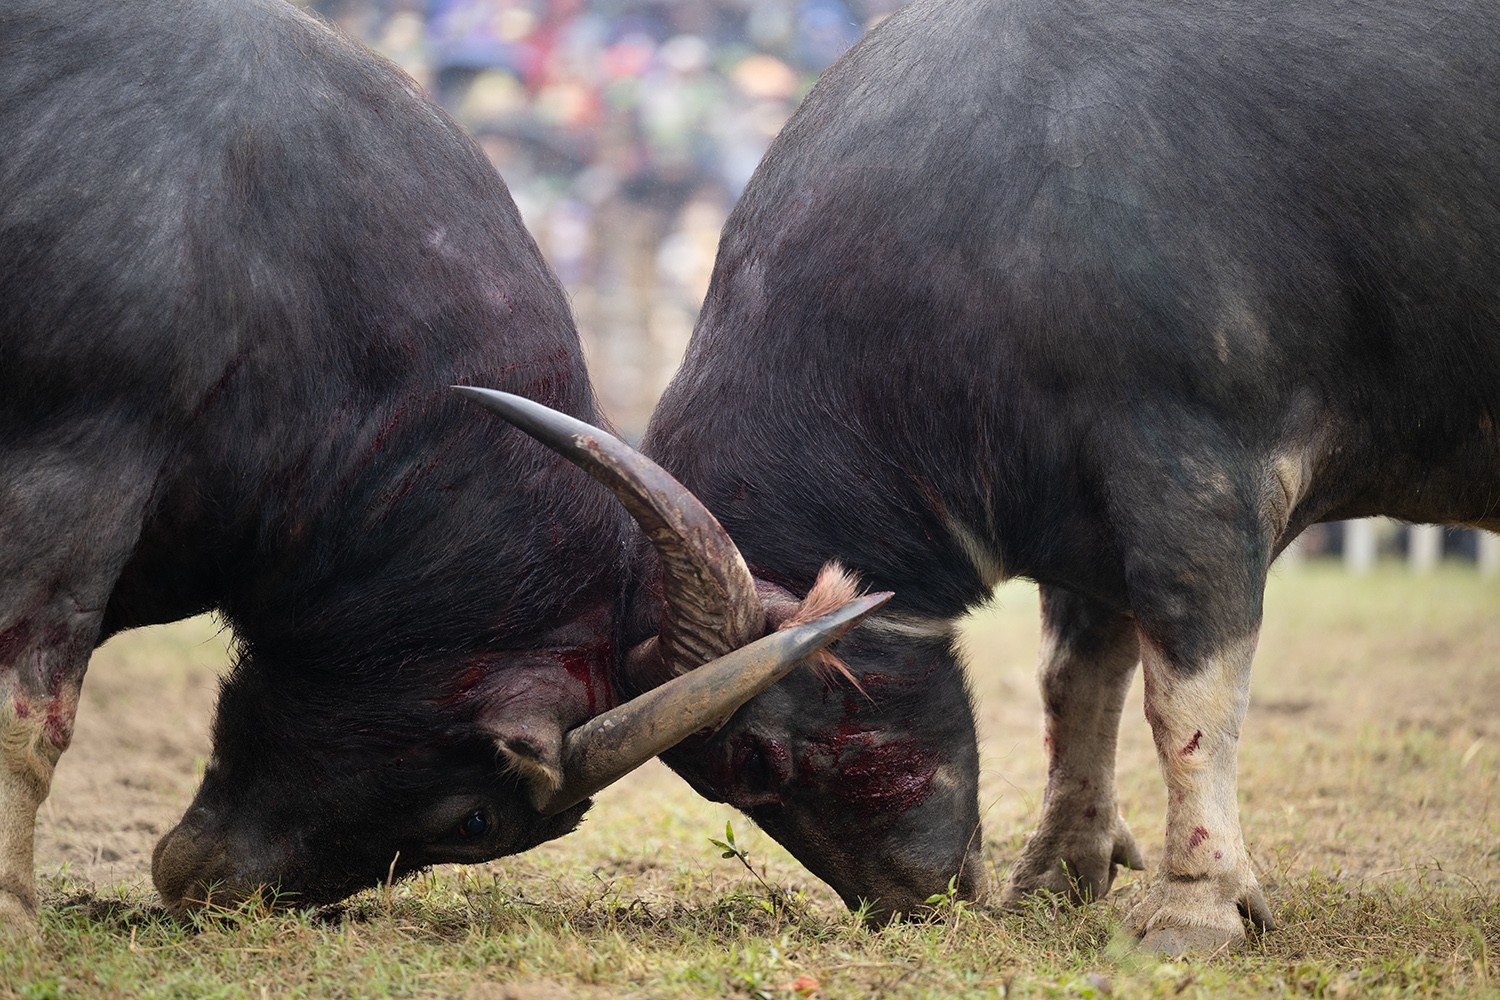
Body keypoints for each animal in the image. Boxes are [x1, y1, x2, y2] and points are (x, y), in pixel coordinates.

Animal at [498, 0, 1494, 953]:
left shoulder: (1193, 474)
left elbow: (1188, 700)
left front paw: (1196, 902)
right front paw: (1059, 868)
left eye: (758, 760)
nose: (904, 905)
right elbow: (1075, 683)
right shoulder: (1085, 514)